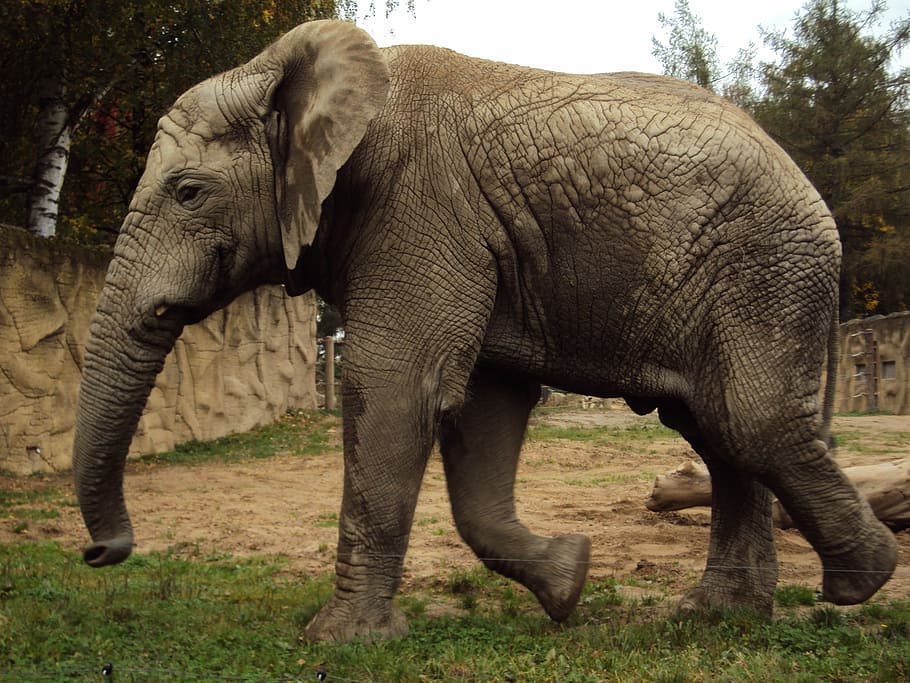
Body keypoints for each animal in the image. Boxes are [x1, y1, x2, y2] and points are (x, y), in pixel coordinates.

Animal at [72, 19, 897, 642]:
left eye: (188, 192)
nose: (98, 551)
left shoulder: (420, 207)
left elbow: (395, 388)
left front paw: (339, 640)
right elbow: (482, 413)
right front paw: (568, 580)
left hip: (763, 270)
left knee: (749, 419)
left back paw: (862, 581)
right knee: (716, 427)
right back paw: (716, 615)